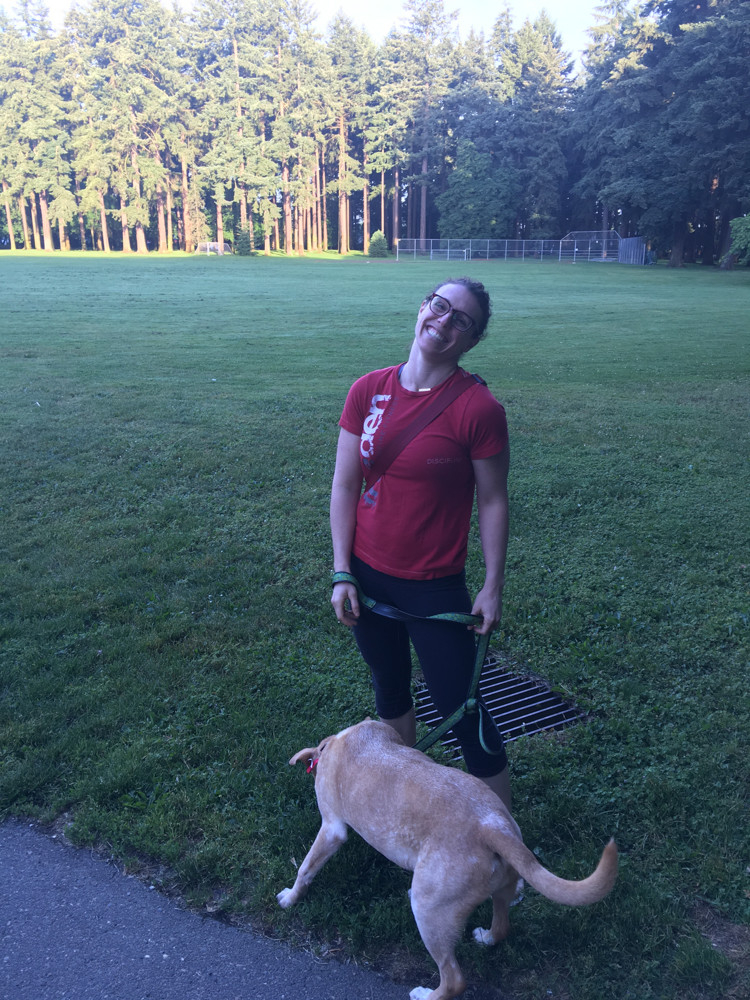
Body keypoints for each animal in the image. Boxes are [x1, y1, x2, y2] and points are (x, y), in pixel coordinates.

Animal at [277, 719, 617, 1000]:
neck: (335, 743)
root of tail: (493, 828)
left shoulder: (332, 829)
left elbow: (305, 868)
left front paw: (290, 897)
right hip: (501, 885)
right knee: (501, 926)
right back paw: (486, 936)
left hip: (429, 914)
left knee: (454, 980)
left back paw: (426, 994)